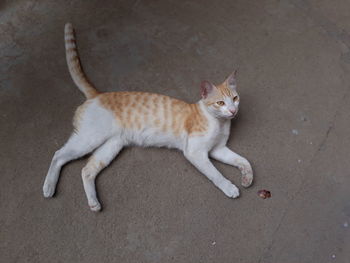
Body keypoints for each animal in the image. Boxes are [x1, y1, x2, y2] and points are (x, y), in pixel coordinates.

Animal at [42, 23, 253, 212]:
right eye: (220, 103)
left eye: (235, 99)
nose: (232, 111)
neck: (219, 123)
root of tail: (97, 95)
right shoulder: (196, 152)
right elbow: (216, 174)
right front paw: (229, 187)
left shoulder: (218, 149)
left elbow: (243, 160)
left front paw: (247, 177)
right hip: (89, 139)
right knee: (58, 155)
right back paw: (49, 187)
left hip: (111, 145)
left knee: (86, 170)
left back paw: (93, 203)